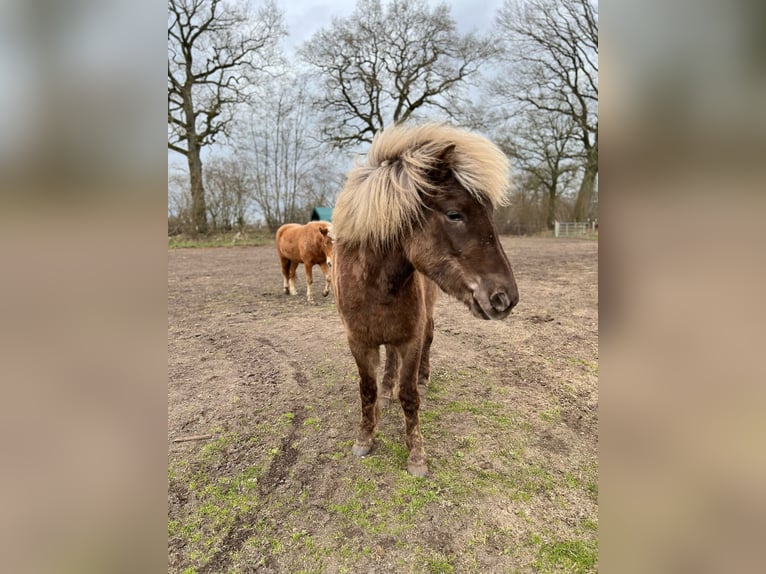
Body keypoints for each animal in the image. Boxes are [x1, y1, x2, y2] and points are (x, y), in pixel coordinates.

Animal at [332, 123, 519, 477]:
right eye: (454, 214)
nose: (506, 298)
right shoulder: (358, 342)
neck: (375, 287)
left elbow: (410, 395)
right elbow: (367, 389)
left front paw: (416, 456)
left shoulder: (412, 339)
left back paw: (424, 378)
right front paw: (365, 438)